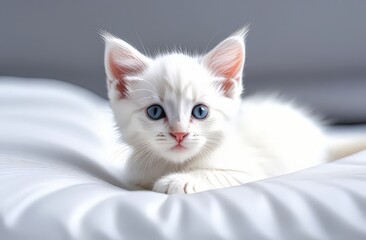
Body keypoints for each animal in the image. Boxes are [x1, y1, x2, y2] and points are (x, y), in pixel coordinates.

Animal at [102, 28, 366, 194]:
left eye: (200, 112)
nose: (179, 133)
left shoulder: (254, 172)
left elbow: (217, 173)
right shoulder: (134, 175)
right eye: (155, 112)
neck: (176, 164)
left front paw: (180, 181)